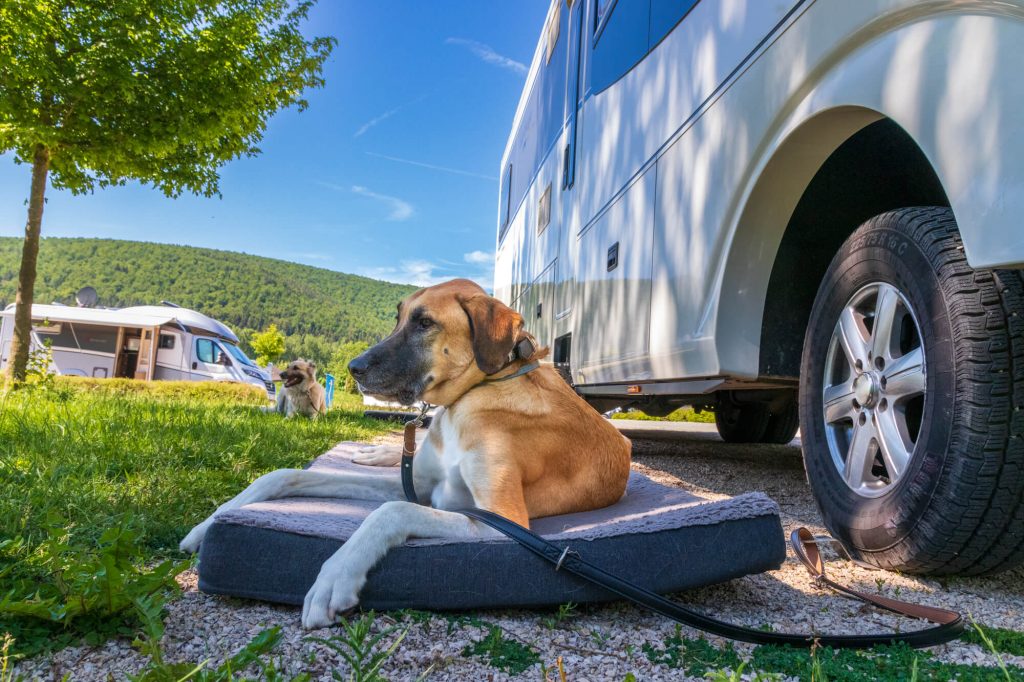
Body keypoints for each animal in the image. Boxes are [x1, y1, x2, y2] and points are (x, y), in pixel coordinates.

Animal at [184, 278, 630, 626]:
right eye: (397, 319)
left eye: (425, 323)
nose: (354, 368)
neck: (476, 393)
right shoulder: (418, 483)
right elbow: (285, 474)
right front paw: (209, 523)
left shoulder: (501, 521)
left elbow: (392, 511)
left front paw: (336, 574)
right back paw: (372, 453)